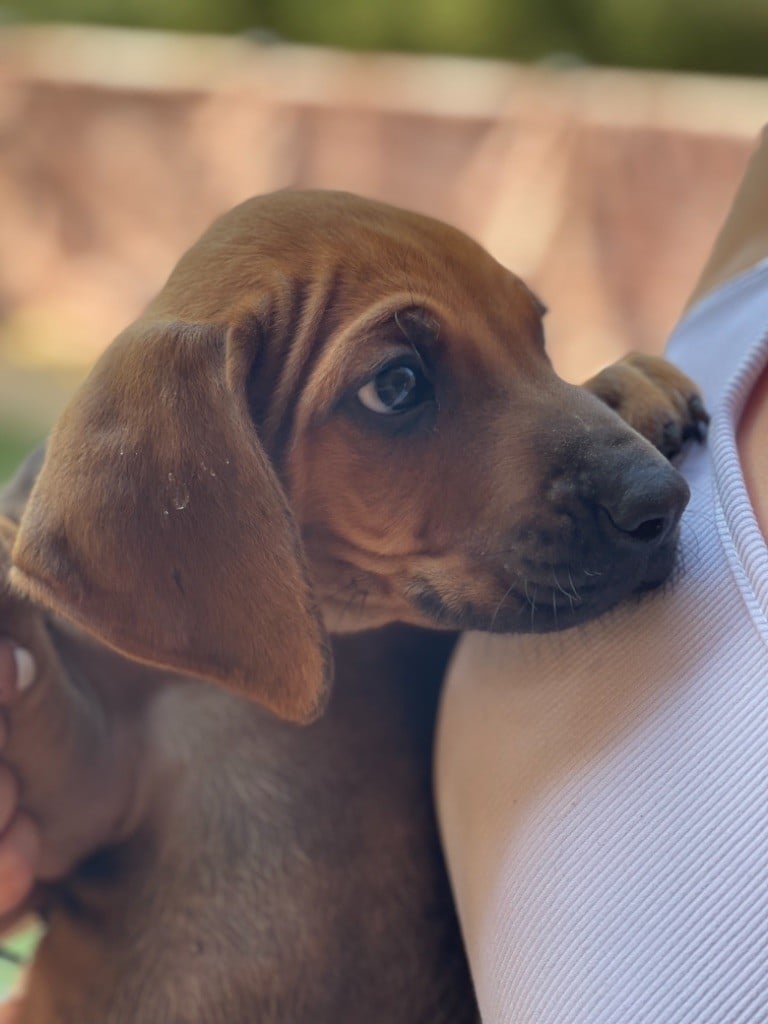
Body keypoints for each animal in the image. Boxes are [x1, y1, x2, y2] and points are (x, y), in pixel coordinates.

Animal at [0, 190, 706, 1022]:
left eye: (536, 337)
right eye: (396, 386)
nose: (661, 499)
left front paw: (623, 385)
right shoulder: (74, 799)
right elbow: (37, 686)